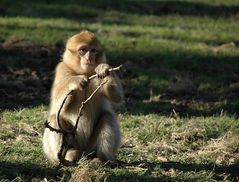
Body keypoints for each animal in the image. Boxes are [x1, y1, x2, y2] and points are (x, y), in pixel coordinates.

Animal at [43, 30, 124, 165]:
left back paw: (101, 159)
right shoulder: (62, 69)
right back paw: (68, 155)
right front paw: (75, 81)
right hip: (69, 142)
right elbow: (57, 105)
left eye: (93, 50)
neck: (85, 72)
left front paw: (104, 69)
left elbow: (118, 97)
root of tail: (83, 151)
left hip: (89, 147)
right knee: (54, 118)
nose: (89, 57)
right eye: (83, 50)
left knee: (107, 116)